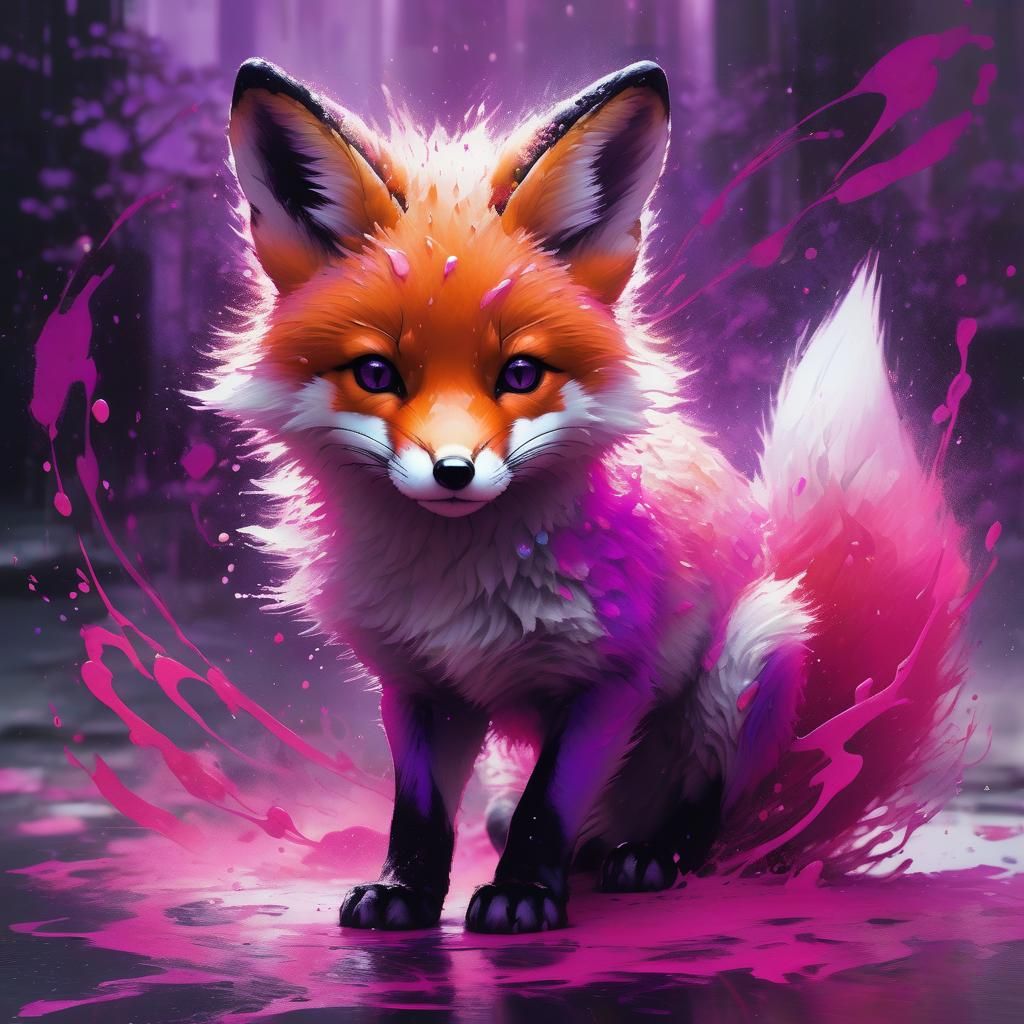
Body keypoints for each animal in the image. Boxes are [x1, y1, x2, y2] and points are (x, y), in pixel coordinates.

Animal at [203, 58, 969, 933]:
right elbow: (422, 813)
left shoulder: (611, 680)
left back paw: (650, 858)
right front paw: (403, 892)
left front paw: (524, 895)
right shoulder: (421, 685)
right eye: (375, 373)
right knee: (531, 820)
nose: (454, 472)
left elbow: (548, 807)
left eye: (520, 374)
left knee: (709, 821)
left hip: (757, 649)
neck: (460, 586)